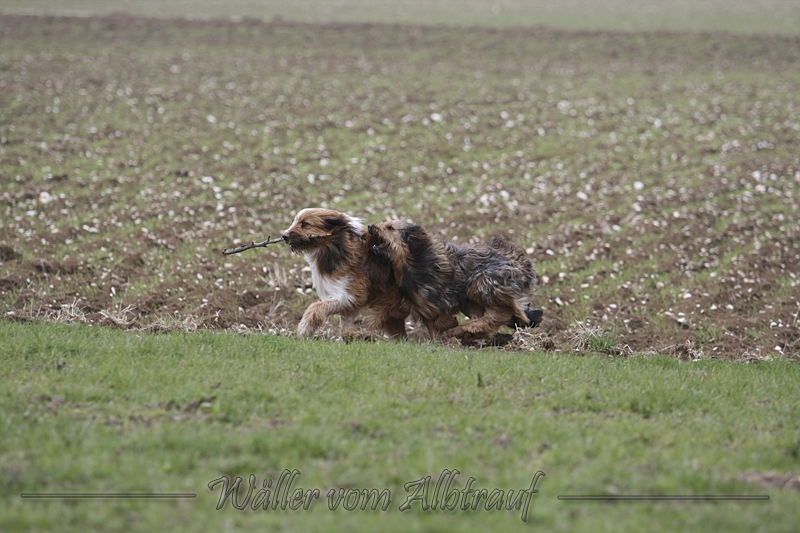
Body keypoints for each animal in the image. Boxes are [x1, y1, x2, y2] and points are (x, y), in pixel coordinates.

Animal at [281, 208, 408, 339]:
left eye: (305, 224)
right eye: (295, 221)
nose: (284, 236)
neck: (334, 245)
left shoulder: (353, 292)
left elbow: (317, 306)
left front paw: (304, 328)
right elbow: (346, 316)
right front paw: (349, 335)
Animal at [367, 220, 542, 342]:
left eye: (390, 227)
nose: (370, 226)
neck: (416, 261)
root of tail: (521, 260)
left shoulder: (441, 298)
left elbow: (441, 320)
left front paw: (449, 327)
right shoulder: (424, 304)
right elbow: (432, 326)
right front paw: (439, 343)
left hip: (483, 285)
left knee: (498, 314)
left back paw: (461, 331)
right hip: (475, 298)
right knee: (484, 317)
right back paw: (468, 333)